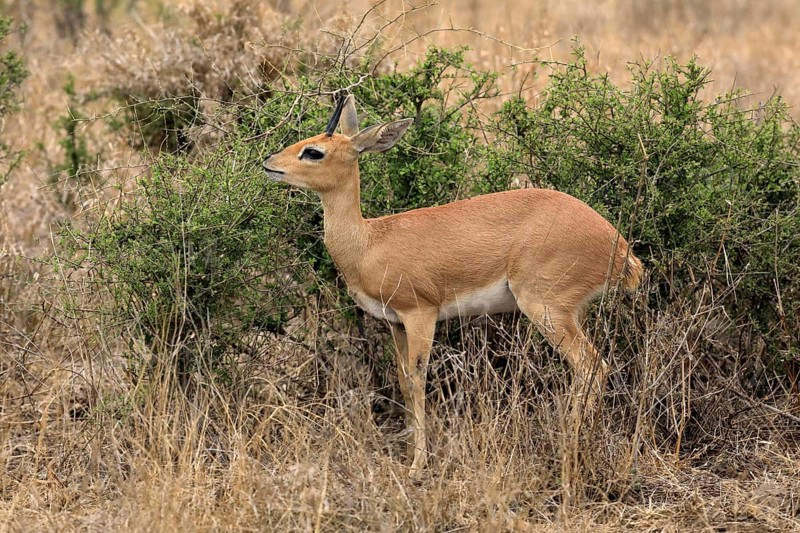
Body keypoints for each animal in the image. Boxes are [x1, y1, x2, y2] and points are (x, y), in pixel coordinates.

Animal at [263, 94, 643, 475]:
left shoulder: (420, 314)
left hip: (545, 309)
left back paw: (570, 451)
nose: (268, 163)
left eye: (314, 151)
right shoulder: (395, 323)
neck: (369, 242)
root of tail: (620, 248)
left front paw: (418, 464)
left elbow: (418, 381)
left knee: (592, 366)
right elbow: (403, 381)